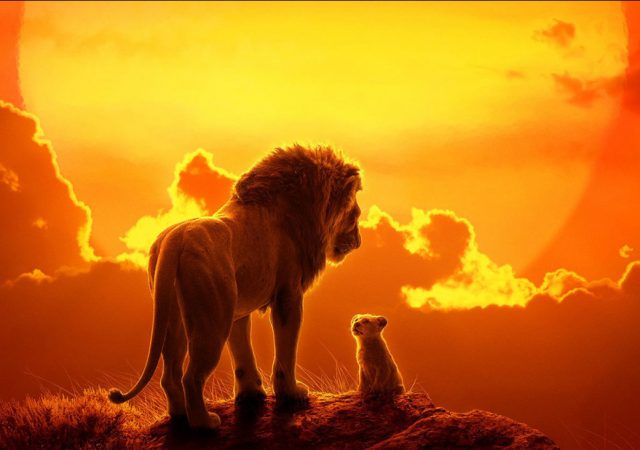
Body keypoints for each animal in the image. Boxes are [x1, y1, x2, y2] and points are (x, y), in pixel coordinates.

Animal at [108, 145, 362, 429]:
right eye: (355, 215)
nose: (359, 241)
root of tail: (175, 239)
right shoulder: (288, 295)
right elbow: (286, 349)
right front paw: (292, 393)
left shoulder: (238, 309)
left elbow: (242, 352)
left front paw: (251, 394)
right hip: (212, 320)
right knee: (191, 377)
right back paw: (205, 423)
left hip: (175, 316)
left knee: (170, 374)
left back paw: (180, 416)